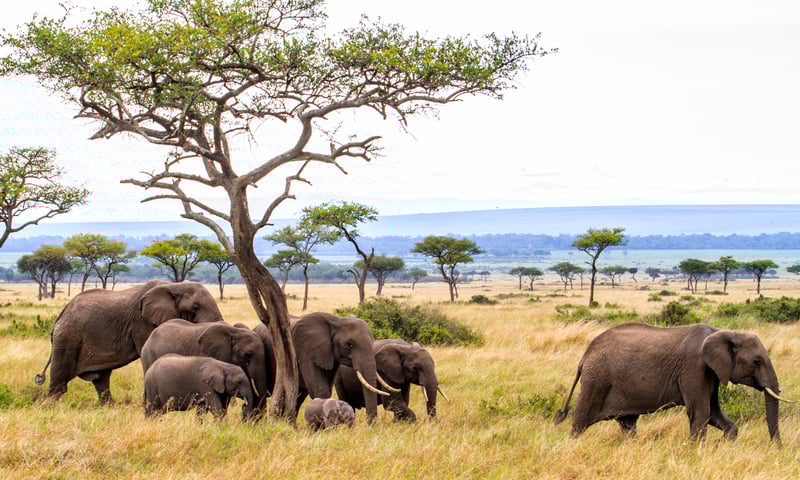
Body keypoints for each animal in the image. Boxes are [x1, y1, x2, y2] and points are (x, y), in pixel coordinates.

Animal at [34, 280, 223, 404]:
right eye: (195, 307)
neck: (174, 285)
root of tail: (60, 316)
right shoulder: (142, 323)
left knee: (101, 379)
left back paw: (109, 408)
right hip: (68, 338)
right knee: (60, 381)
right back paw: (50, 407)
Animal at [553, 323, 794, 442]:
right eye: (756, 362)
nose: (777, 449)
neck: (724, 332)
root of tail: (584, 356)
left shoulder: (711, 372)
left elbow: (714, 414)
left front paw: (720, 444)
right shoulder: (695, 367)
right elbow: (701, 413)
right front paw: (697, 451)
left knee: (628, 424)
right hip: (597, 379)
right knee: (580, 421)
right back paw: (573, 445)